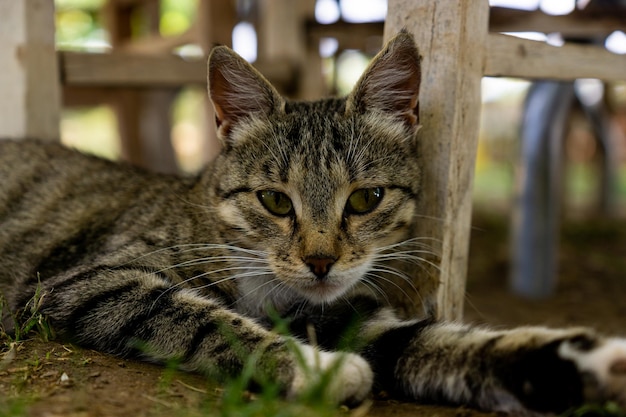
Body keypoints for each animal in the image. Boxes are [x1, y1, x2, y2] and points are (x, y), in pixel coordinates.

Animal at [1, 30, 624, 414]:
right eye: (275, 202)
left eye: (367, 199)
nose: (320, 261)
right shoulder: (92, 279)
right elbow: (203, 318)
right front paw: (317, 370)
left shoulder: (354, 318)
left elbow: (441, 342)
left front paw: (584, 361)